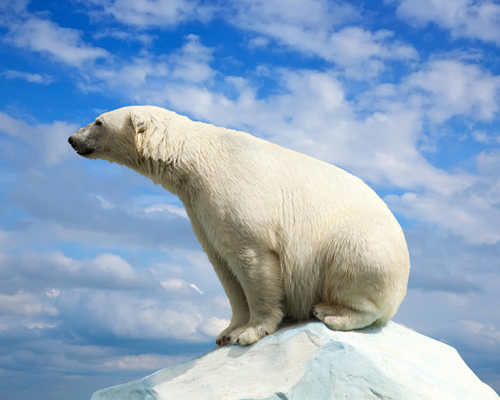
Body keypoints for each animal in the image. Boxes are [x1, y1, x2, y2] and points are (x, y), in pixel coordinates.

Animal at [67, 104, 410, 346]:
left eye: (98, 121)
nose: (71, 139)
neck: (194, 160)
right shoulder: (199, 209)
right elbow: (224, 267)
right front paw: (227, 332)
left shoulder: (235, 195)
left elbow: (251, 260)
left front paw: (250, 332)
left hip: (363, 242)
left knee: (354, 262)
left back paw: (330, 312)